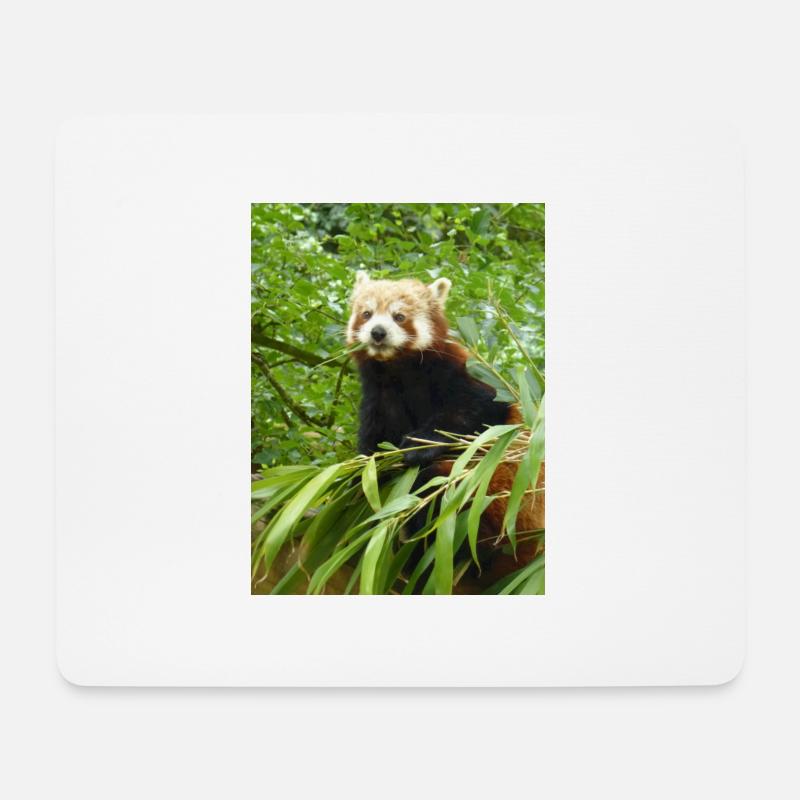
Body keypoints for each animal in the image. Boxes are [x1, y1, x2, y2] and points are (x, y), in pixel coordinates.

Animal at [346, 271, 544, 589]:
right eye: (367, 314)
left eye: (399, 316)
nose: (377, 332)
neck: (399, 370)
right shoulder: (380, 397)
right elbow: (375, 443)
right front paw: (364, 471)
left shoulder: (463, 375)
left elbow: (473, 410)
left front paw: (419, 444)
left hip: (503, 500)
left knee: (438, 487)